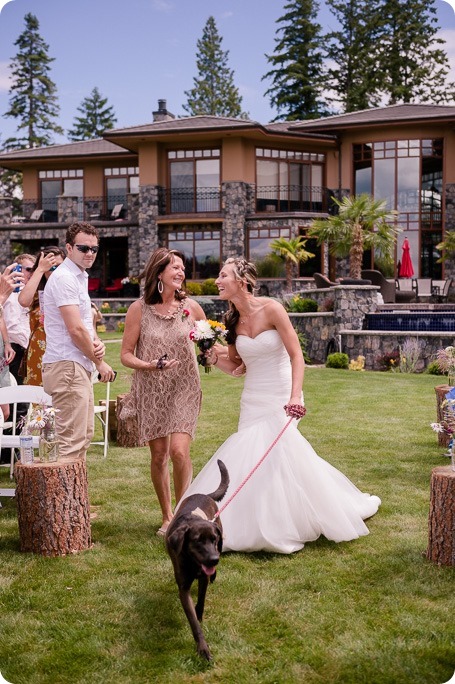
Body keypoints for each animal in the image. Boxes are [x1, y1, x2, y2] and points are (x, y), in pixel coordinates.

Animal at [166, 462, 230, 660]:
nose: (214, 560)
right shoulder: (184, 588)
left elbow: (201, 601)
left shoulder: (203, 577)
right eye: (197, 541)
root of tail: (205, 494)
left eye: (213, 539)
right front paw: (203, 648)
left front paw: (200, 615)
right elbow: (193, 621)